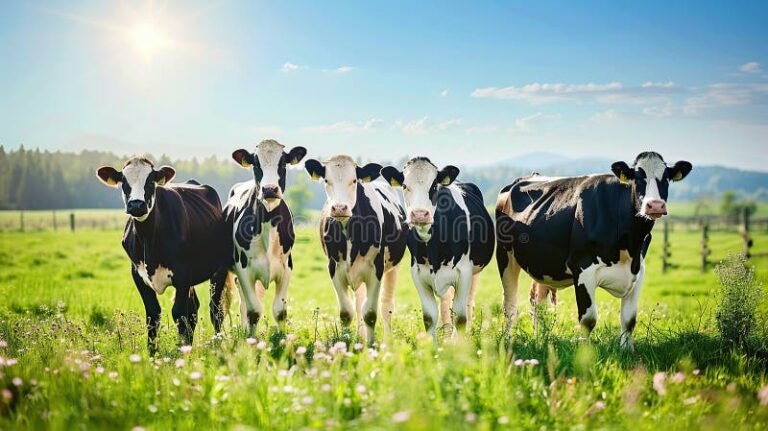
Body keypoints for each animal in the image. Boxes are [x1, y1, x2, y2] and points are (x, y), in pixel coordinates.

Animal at [96, 158, 232, 353]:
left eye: (151, 181)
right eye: (124, 182)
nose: (136, 205)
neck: (148, 239)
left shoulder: (182, 275)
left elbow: (179, 315)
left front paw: (183, 353)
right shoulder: (138, 275)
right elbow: (153, 316)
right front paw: (153, 354)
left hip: (219, 270)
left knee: (215, 310)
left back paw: (218, 345)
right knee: (194, 308)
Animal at [223, 139, 307, 337]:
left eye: (283, 163)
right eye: (255, 164)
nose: (269, 189)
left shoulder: (286, 268)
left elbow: (280, 311)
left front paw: (283, 340)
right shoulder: (243, 269)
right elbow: (254, 311)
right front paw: (251, 342)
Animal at [304, 155, 408, 345]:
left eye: (354, 181)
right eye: (326, 180)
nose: (339, 208)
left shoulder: (377, 269)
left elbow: (371, 314)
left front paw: (371, 345)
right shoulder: (334, 267)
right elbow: (346, 313)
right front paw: (345, 343)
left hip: (394, 266)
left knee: (387, 305)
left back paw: (387, 340)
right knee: (359, 303)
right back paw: (360, 337)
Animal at [381, 157, 495, 339]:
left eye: (434, 185)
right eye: (405, 185)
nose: (420, 214)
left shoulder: (464, 274)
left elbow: (460, 317)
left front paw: (459, 345)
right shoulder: (418, 274)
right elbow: (429, 317)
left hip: (475, 271)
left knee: (468, 304)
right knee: (446, 303)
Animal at [495, 152, 692, 348]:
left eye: (666, 178)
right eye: (637, 178)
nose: (655, 205)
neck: (628, 244)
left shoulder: (638, 270)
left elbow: (629, 320)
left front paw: (627, 350)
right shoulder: (583, 268)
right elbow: (588, 319)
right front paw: (585, 351)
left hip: (543, 263)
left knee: (538, 302)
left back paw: (541, 342)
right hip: (505, 256)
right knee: (510, 305)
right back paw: (508, 341)